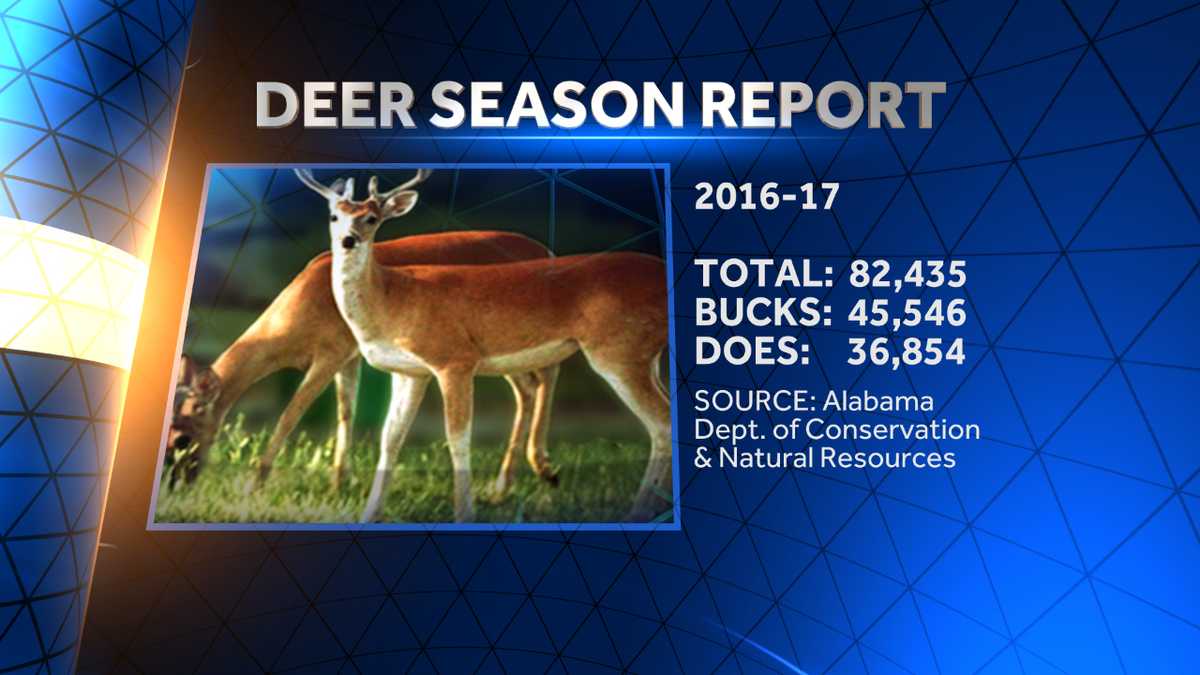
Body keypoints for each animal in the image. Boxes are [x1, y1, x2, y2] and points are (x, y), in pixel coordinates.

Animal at [167, 228, 563, 498]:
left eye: (182, 439)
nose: (178, 485)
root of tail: (546, 249)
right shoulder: (348, 356)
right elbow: (346, 412)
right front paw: (337, 483)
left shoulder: (330, 351)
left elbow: (291, 413)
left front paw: (254, 483)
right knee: (530, 387)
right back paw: (504, 484)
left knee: (546, 374)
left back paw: (541, 470)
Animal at [296, 168, 671, 523]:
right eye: (334, 216)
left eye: (372, 218)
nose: (349, 240)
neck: (391, 298)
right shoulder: (409, 372)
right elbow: (391, 439)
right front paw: (369, 515)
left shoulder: (454, 360)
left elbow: (458, 441)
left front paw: (465, 514)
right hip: (645, 355)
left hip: (618, 351)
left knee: (660, 423)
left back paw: (634, 510)